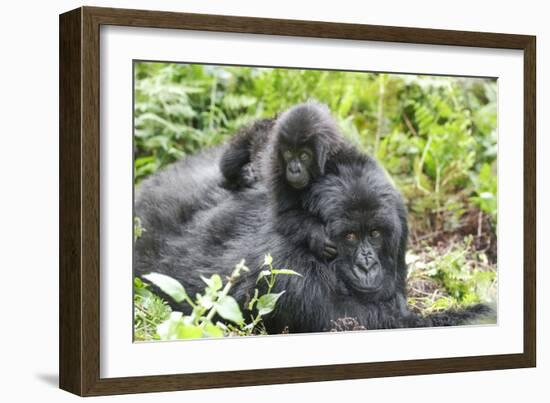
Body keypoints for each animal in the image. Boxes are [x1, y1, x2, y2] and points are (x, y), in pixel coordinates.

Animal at [221, 100, 344, 258]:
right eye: (288, 154)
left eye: (304, 156)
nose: (294, 170)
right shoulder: (277, 171)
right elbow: (284, 215)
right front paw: (317, 235)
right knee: (228, 162)